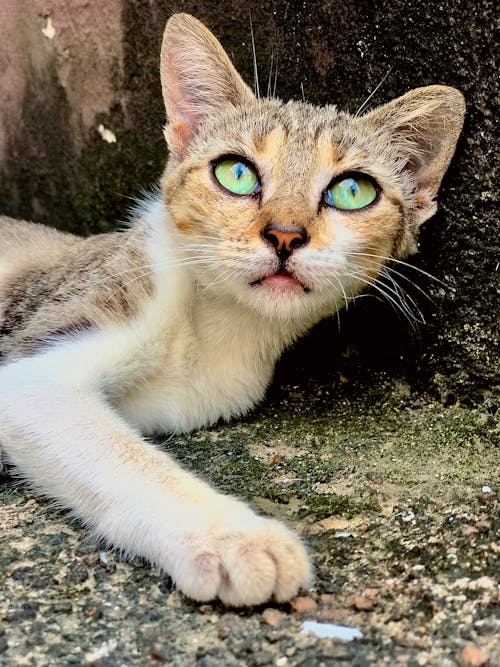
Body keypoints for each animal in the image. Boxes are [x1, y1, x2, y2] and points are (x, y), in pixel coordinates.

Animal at [0, 13, 464, 608]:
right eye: (236, 174)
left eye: (353, 190)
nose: (286, 235)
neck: (215, 328)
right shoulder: (38, 361)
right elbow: (126, 456)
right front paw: (237, 539)